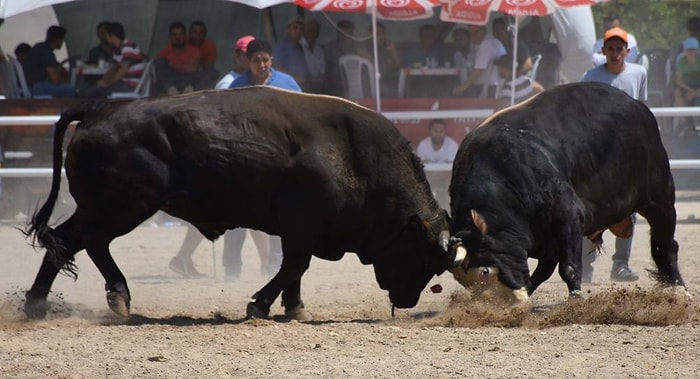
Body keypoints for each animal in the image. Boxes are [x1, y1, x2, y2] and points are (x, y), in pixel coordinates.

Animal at [448, 83, 684, 302]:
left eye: (485, 271)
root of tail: (639, 107)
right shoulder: (547, 235)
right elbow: (544, 270)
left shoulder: (568, 216)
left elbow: (568, 267)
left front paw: (575, 300)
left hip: (660, 198)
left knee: (665, 247)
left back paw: (680, 289)